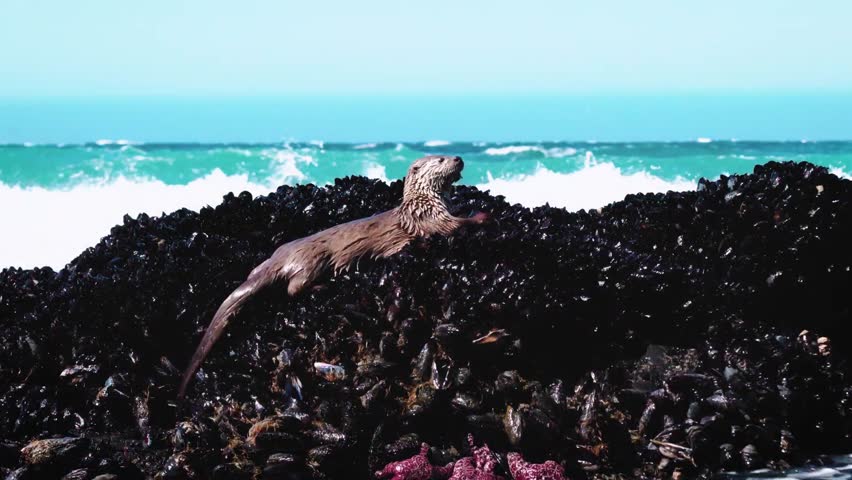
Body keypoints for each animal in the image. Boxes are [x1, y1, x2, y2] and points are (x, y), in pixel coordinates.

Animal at [178, 155, 487, 399]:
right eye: (441, 159)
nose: (458, 158)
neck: (423, 201)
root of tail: (279, 259)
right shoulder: (430, 219)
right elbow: (453, 225)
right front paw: (482, 216)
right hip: (313, 261)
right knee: (293, 288)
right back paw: (323, 287)